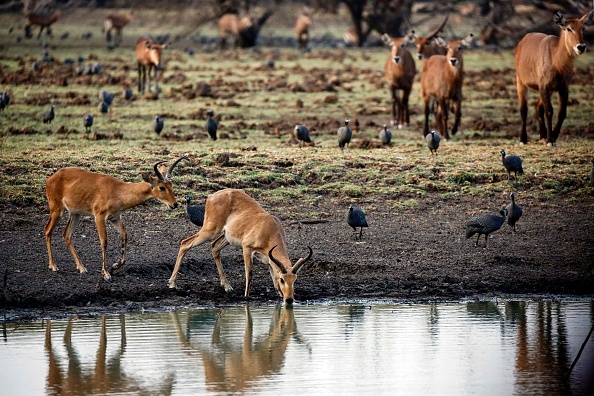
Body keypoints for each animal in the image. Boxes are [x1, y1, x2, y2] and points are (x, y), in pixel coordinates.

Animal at [44, 156, 185, 280]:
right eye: (162, 187)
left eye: (171, 185)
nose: (174, 204)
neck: (118, 191)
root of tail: (52, 177)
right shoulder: (99, 216)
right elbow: (104, 241)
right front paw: (106, 274)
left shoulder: (115, 218)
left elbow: (124, 236)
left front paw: (114, 266)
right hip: (57, 210)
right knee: (47, 230)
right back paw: (53, 266)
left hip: (75, 214)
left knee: (66, 234)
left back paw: (81, 268)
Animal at [169, 188, 312, 304]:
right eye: (283, 279)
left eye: (295, 280)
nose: (289, 299)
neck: (269, 230)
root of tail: (211, 196)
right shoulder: (247, 248)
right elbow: (250, 273)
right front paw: (246, 296)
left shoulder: (269, 259)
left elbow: (273, 277)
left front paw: (279, 295)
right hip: (210, 231)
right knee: (185, 243)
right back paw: (172, 284)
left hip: (225, 236)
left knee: (214, 246)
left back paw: (227, 287)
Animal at [512, 9, 588, 145]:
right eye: (568, 28)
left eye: (583, 28)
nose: (581, 47)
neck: (556, 61)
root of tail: (524, 39)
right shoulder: (544, 86)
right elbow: (549, 111)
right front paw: (550, 140)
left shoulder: (563, 87)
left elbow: (562, 112)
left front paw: (553, 136)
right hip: (521, 82)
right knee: (524, 110)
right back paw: (523, 139)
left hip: (549, 90)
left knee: (538, 107)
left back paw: (542, 136)